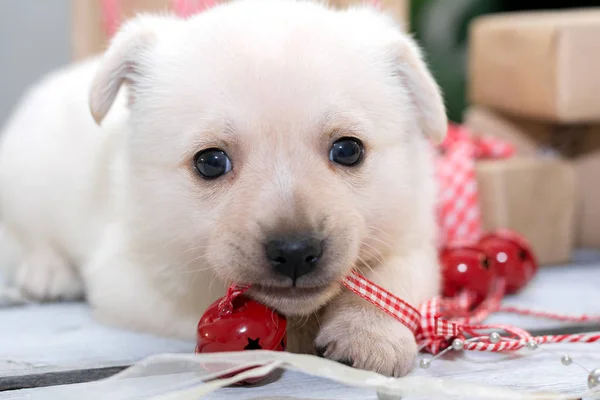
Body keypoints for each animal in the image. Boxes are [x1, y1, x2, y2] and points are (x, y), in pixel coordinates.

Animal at [0, 0, 446, 376]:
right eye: (210, 162)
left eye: (348, 150)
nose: (295, 252)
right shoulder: (145, 281)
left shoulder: (413, 238)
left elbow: (391, 279)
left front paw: (369, 333)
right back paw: (48, 271)